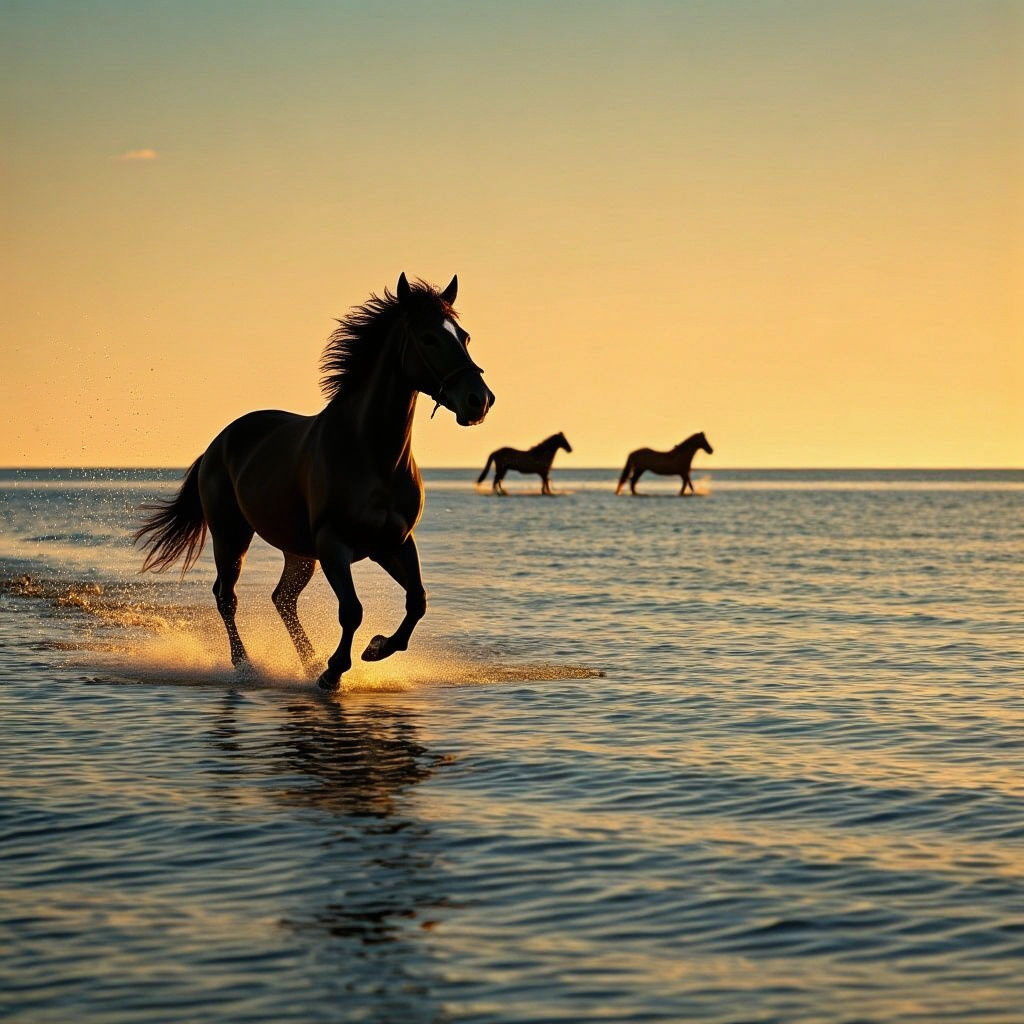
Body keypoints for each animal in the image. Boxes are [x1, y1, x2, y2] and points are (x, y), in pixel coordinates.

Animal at [134, 273, 495, 691]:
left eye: (464, 336)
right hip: (231, 535)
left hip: (299, 552)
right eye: (429, 337)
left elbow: (417, 600)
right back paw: (247, 666)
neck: (372, 454)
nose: (479, 400)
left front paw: (376, 648)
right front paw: (334, 670)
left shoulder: (394, 543)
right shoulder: (332, 542)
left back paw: (306, 662)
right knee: (227, 596)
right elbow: (352, 610)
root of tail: (218, 443)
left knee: (282, 598)